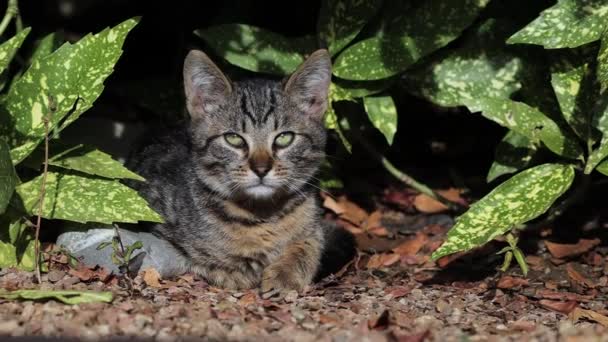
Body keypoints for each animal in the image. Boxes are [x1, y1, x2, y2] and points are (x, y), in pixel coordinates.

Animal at [126, 49, 354, 292]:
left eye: (284, 138)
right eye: (233, 139)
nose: (261, 168)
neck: (264, 216)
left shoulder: (313, 224)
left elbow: (310, 243)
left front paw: (285, 274)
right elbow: (208, 259)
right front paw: (241, 271)